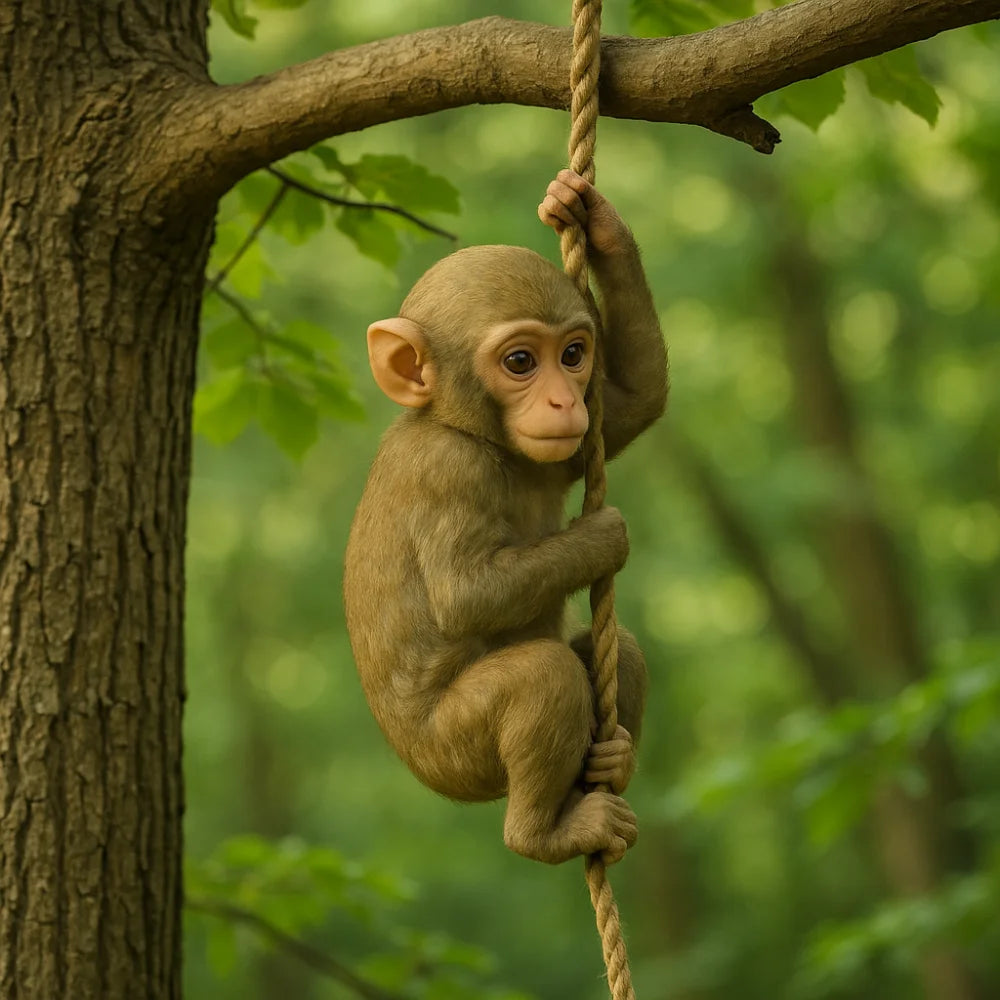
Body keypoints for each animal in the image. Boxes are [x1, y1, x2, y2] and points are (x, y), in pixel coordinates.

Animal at [344, 170, 667, 865]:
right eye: (521, 362)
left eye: (573, 354)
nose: (564, 400)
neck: (472, 431)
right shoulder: (448, 468)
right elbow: (466, 594)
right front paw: (602, 537)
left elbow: (637, 401)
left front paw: (590, 215)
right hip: (455, 752)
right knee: (541, 677)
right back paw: (546, 832)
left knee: (615, 649)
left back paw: (612, 762)